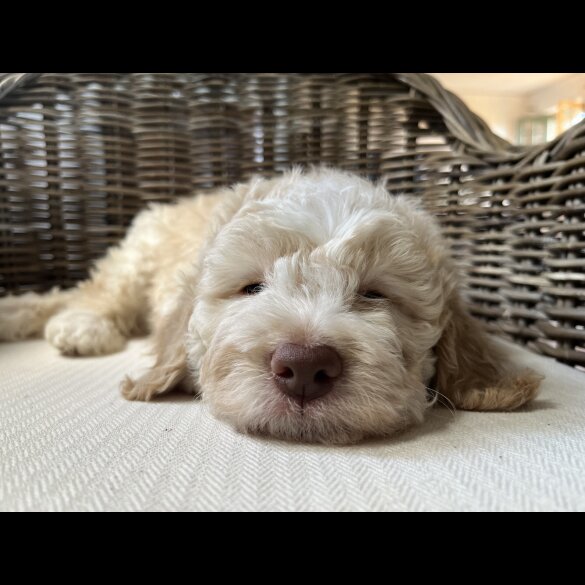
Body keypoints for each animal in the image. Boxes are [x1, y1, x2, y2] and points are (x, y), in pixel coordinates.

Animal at [0, 169, 540, 442]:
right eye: (251, 287)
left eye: (374, 293)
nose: (303, 367)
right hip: (139, 254)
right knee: (96, 291)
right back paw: (81, 324)